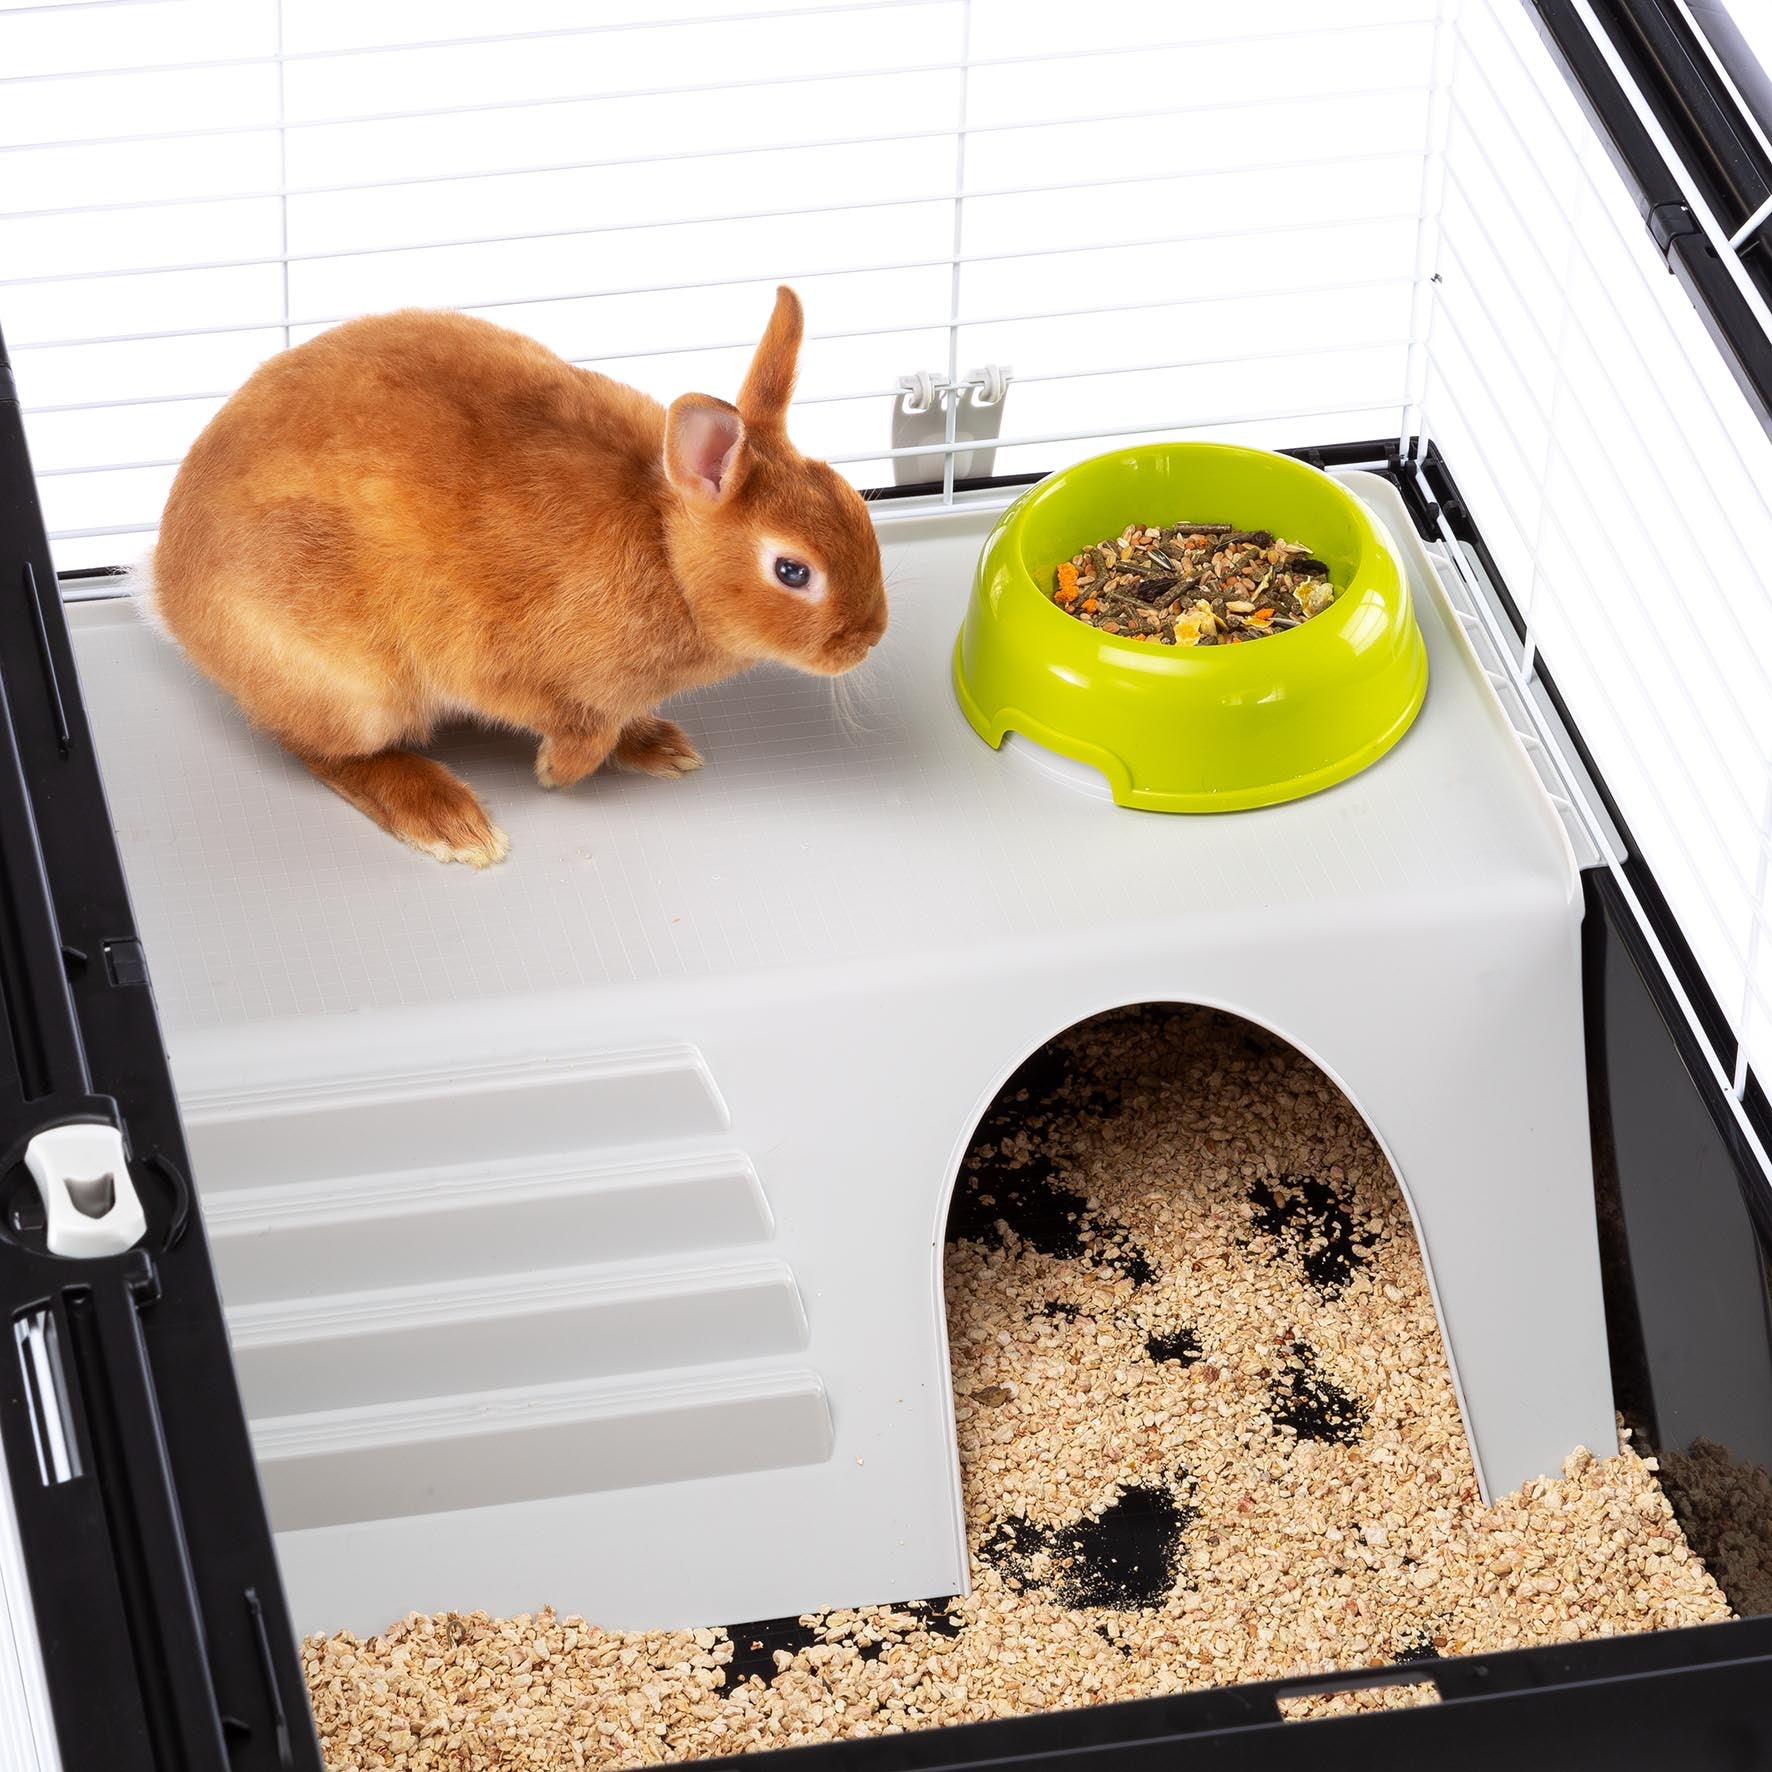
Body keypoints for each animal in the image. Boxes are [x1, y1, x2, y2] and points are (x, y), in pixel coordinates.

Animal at [144, 285, 887, 868]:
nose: (869, 639)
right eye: (792, 570)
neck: (669, 551)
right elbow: (582, 730)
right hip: (351, 686)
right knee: (326, 754)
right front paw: (555, 774)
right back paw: (447, 820)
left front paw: (650, 743)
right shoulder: (507, 671)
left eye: (856, 506)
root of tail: (166, 592)